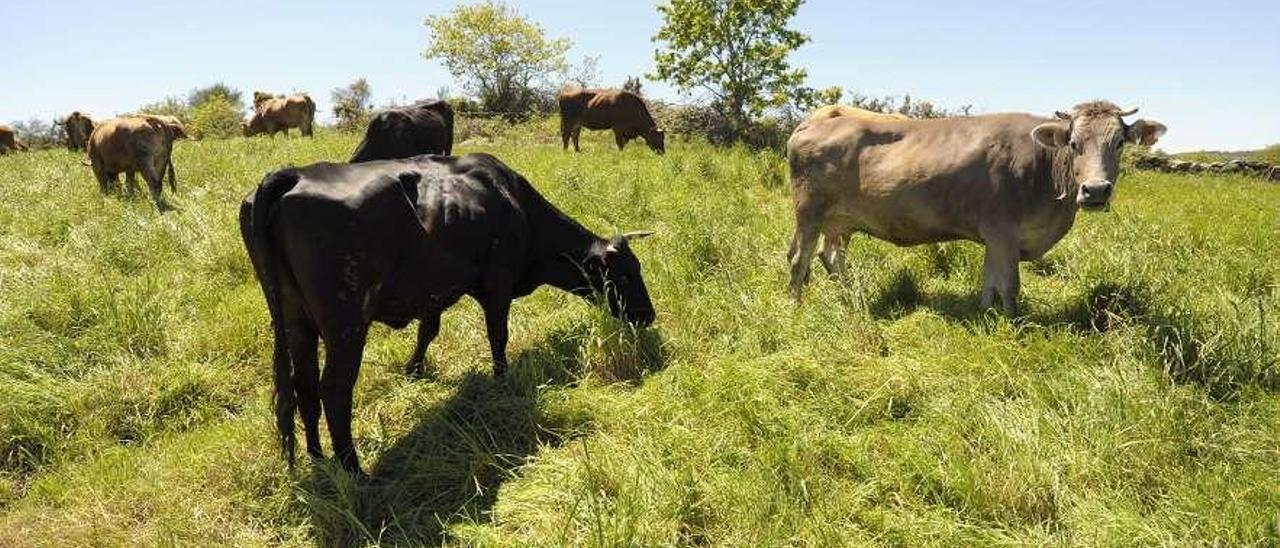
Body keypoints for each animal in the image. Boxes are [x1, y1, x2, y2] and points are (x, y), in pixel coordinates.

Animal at [240, 151, 660, 473]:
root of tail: (295, 174)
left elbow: (428, 330)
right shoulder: (498, 281)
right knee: (334, 390)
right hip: (346, 325)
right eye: (626, 273)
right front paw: (501, 378)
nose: (648, 315)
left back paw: (317, 457)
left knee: (304, 385)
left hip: (295, 321)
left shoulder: (433, 290)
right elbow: (498, 335)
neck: (514, 202)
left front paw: (414, 370)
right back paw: (355, 471)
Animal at [783, 100, 1167, 314]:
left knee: (830, 257)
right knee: (799, 259)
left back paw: (851, 295)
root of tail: (815, 123)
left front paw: (984, 314)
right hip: (809, 212)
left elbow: (990, 282)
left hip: (839, 220)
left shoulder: (996, 237)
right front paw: (1013, 322)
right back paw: (795, 307)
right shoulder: (1003, 232)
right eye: (1073, 143)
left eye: (1119, 143)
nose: (1096, 190)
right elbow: (1009, 285)